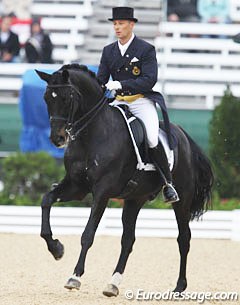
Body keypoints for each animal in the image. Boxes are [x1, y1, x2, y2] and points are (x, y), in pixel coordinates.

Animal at [35, 63, 212, 294]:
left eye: (66, 98)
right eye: (47, 98)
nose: (58, 139)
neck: (92, 135)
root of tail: (183, 135)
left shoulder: (102, 191)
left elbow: (88, 234)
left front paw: (75, 276)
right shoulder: (76, 186)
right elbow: (46, 200)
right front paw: (56, 248)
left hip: (182, 200)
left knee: (184, 238)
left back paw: (179, 286)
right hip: (134, 199)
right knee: (128, 239)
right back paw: (113, 283)